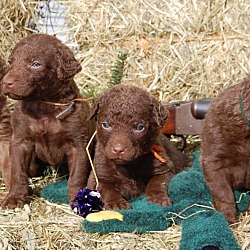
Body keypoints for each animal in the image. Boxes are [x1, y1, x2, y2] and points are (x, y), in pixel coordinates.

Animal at [1, 34, 95, 208]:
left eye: (36, 64)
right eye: (11, 62)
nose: (6, 82)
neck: (44, 106)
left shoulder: (78, 144)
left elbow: (77, 175)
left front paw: (77, 198)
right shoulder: (20, 141)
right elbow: (17, 171)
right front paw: (14, 197)